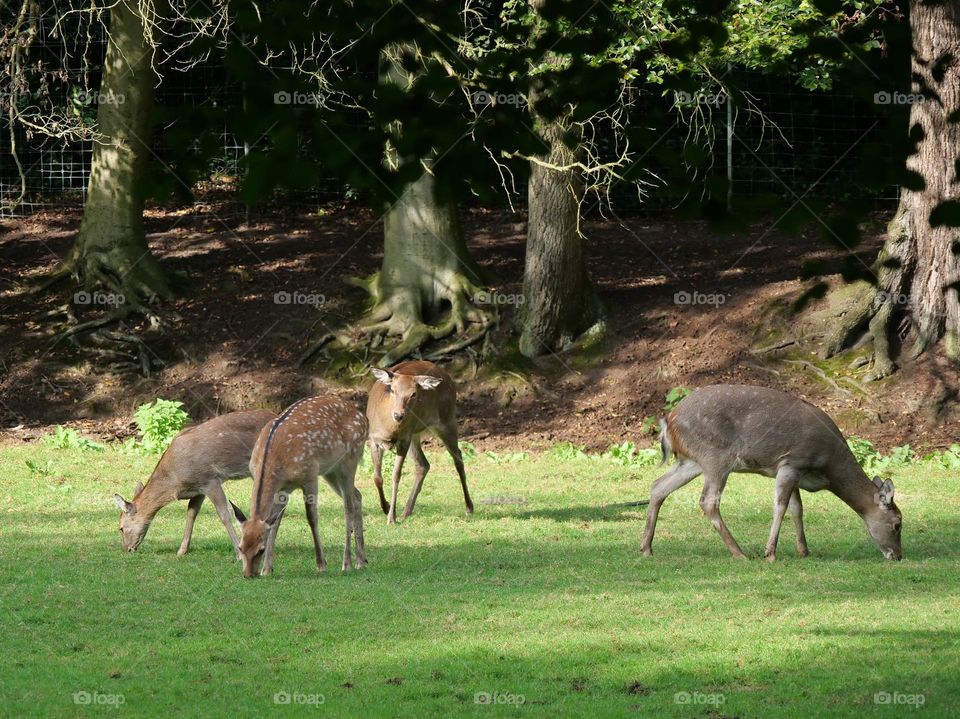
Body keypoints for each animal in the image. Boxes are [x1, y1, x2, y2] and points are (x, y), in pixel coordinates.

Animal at [115, 410, 278, 556]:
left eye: (121, 528)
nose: (127, 549)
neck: (174, 482)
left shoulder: (210, 479)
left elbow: (224, 515)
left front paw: (238, 553)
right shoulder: (198, 487)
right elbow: (191, 513)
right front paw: (182, 550)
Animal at [231, 396, 370, 576]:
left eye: (260, 549)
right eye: (240, 547)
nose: (248, 574)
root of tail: (364, 418)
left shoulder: (310, 477)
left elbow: (312, 518)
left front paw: (321, 564)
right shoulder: (283, 489)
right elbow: (275, 522)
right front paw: (267, 569)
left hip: (350, 461)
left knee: (348, 507)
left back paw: (347, 563)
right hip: (331, 471)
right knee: (358, 496)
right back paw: (361, 560)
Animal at [368, 360, 472, 524]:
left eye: (414, 394)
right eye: (392, 390)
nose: (398, 415)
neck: (388, 430)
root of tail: (446, 375)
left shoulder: (403, 440)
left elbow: (396, 475)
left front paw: (391, 517)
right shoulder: (373, 439)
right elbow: (377, 477)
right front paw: (386, 507)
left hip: (447, 419)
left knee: (458, 458)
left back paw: (469, 507)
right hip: (415, 434)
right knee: (423, 464)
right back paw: (406, 511)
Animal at [640, 388, 904, 564]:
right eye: (897, 524)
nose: (898, 555)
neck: (828, 467)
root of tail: (668, 420)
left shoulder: (796, 471)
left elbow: (797, 509)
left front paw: (804, 551)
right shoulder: (791, 462)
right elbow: (781, 506)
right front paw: (770, 553)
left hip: (691, 461)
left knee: (658, 486)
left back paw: (645, 548)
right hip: (716, 457)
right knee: (707, 501)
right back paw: (739, 552)